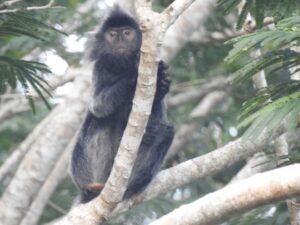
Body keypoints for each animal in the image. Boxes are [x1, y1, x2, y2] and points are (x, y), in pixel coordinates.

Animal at [71, 7, 173, 204]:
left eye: (126, 33)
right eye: (112, 34)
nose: (120, 39)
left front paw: (163, 83)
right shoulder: (100, 68)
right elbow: (98, 106)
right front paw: (134, 74)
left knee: (165, 131)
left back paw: (130, 187)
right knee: (97, 120)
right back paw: (93, 188)